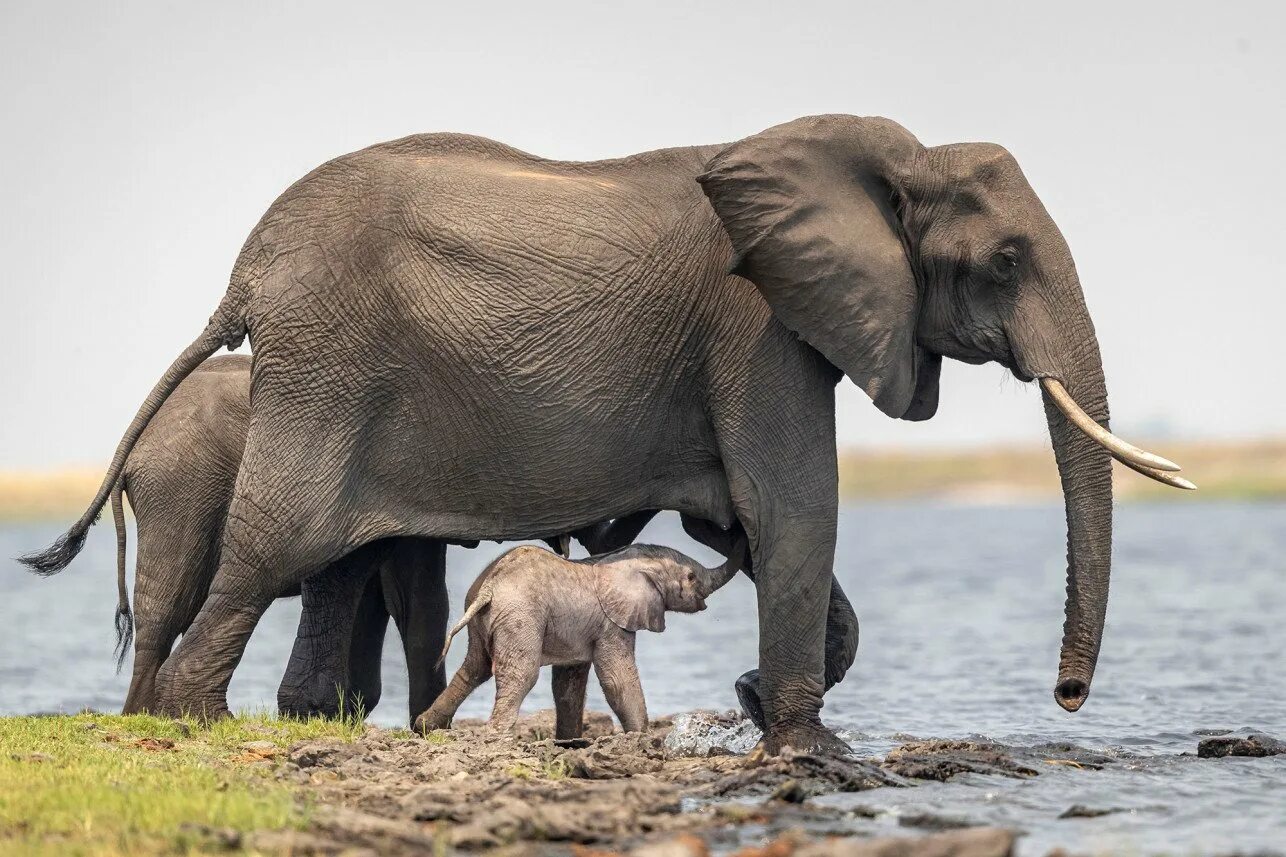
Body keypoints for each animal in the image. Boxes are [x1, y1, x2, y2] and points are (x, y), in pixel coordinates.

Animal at [414, 540, 745, 736]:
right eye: (690, 577)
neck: (623, 558)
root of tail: (490, 587)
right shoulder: (613, 623)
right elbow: (616, 680)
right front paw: (642, 740)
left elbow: (568, 684)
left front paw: (570, 742)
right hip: (521, 617)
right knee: (520, 675)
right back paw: (496, 737)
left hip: (482, 615)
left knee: (474, 668)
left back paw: (425, 727)